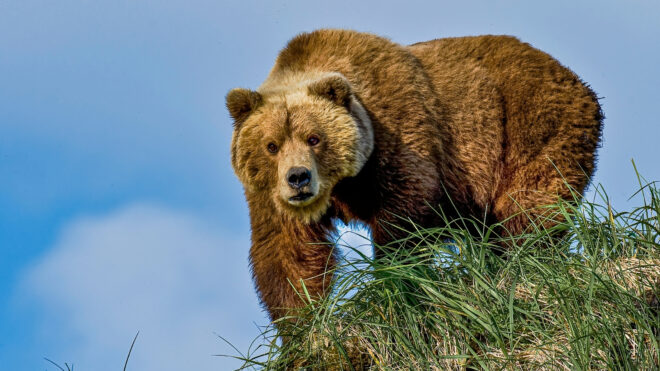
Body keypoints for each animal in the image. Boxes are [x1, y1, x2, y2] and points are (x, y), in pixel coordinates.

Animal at [227, 29, 604, 322]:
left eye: (314, 138)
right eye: (271, 145)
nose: (298, 178)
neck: (344, 184)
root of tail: (575, 79)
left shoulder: (400, 135)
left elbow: (404, 221)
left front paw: (393, 284)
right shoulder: (269, 196)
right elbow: (287, 254)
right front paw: (301, 325)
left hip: (531, 126)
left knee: (528, 209)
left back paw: (522, 267)